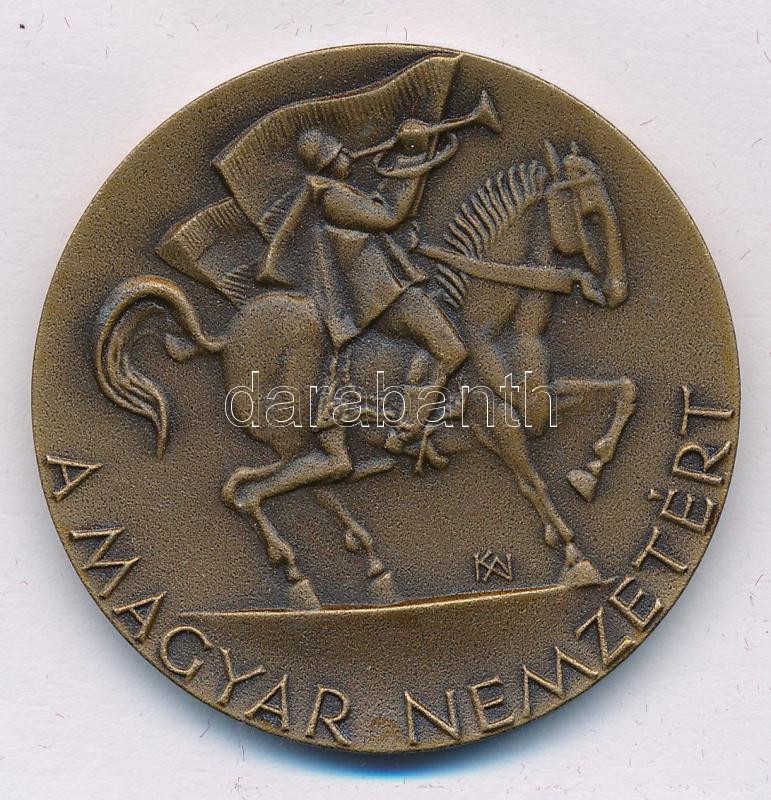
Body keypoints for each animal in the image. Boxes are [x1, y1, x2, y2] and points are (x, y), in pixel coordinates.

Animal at [95, 141, 635, 610]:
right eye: (588, 214)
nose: (615, 290)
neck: (493, 325)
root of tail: (227, 337)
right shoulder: (496, 424)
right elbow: (533, 484)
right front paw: (576, 558)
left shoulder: (541, 404)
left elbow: (621, 389)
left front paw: (590, 472)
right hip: (295, 430)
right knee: (262, 489)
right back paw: (306, 581)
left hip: (300, 444)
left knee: (277, 485)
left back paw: (370, 570)